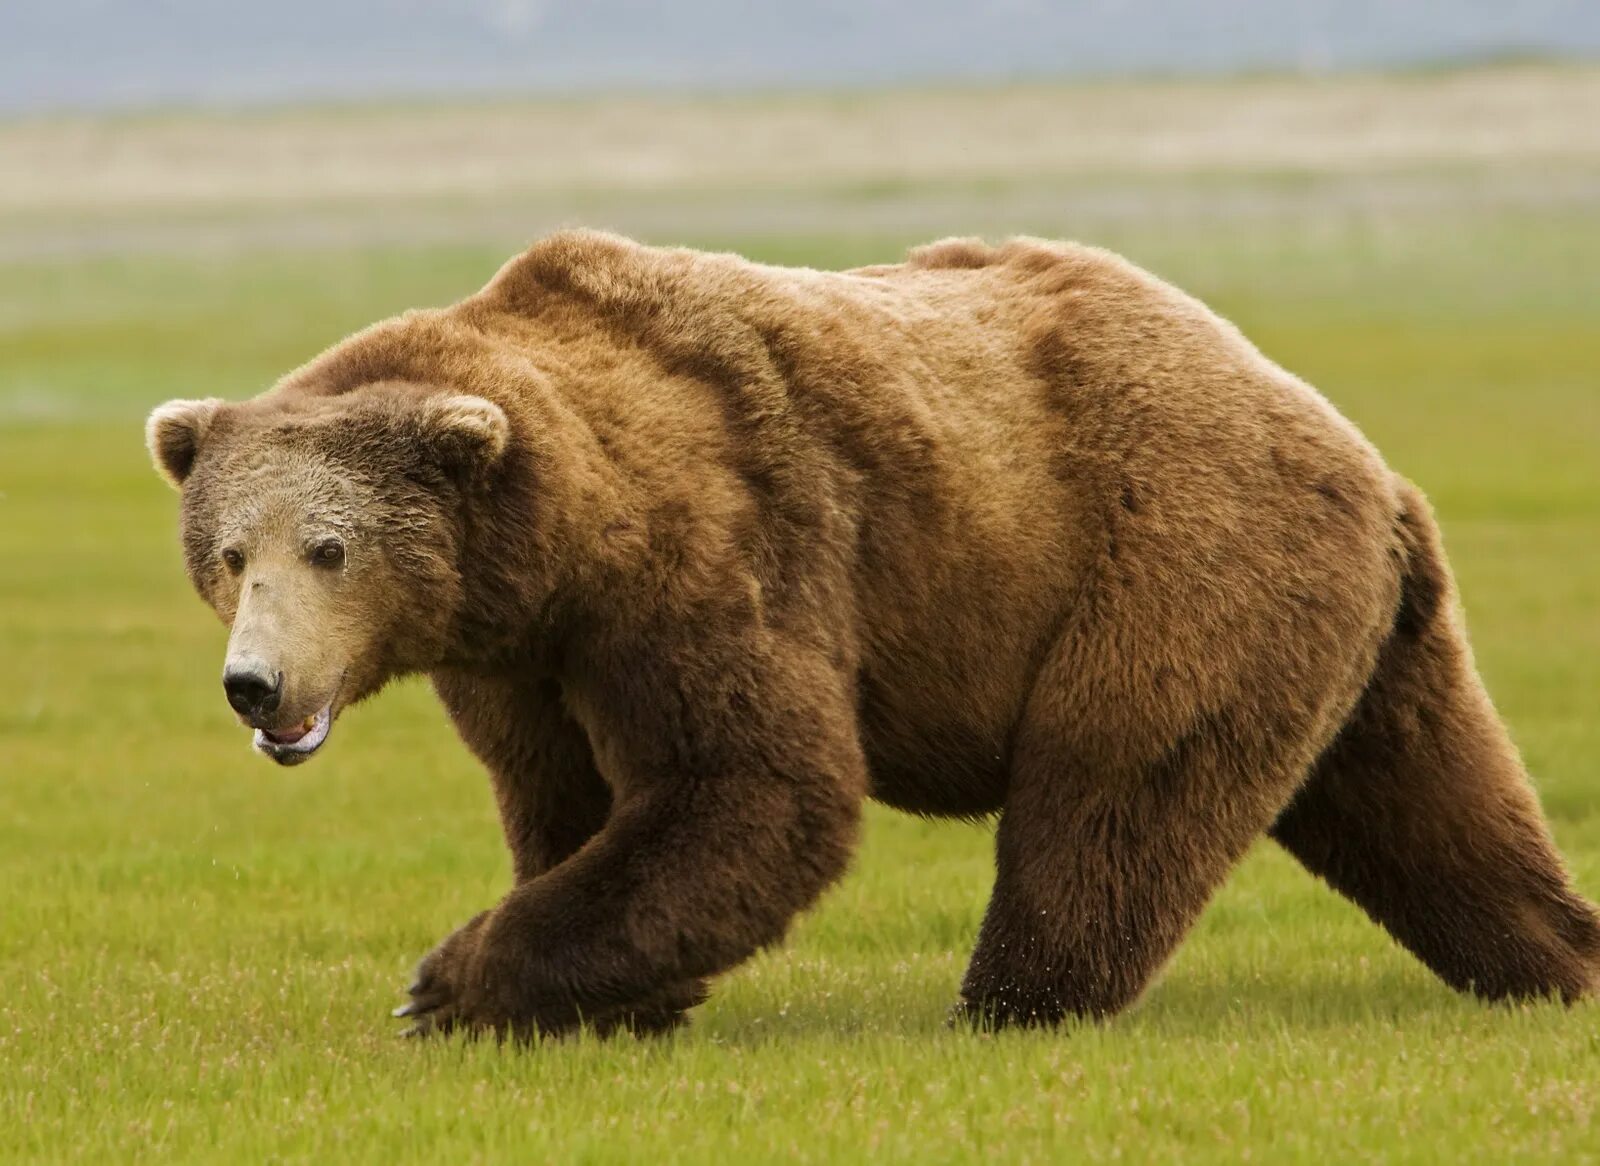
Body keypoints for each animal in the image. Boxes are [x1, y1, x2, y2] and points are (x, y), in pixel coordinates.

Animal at [147, 230, 1600, 1036]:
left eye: (329, 548)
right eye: (227, 555)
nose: (256, 685)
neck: (568, 540)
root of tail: (1358, 449)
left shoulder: (710, 559)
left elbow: (751, 785)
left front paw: (447, 983)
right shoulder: (521, 655)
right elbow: (568, 794)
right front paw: (608, 999)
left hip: (1178, 562)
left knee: (1110, 794)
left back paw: (1010, 999)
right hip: (1360, 623)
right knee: (1428, 794)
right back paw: (1554, 956)